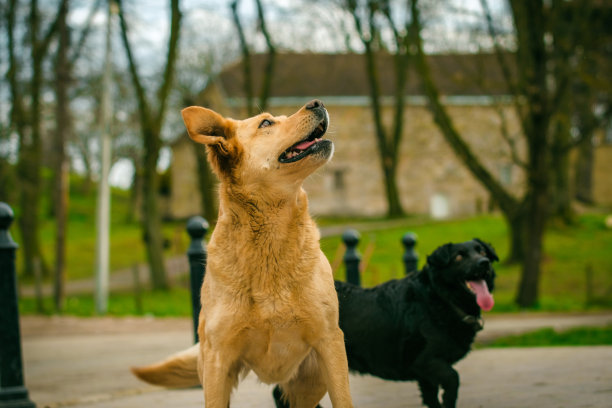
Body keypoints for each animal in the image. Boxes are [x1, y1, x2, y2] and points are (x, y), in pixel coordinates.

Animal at [134, 99, 354, 408]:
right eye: (266, 123)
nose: (317, 102)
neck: (269, 239)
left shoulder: (329, 341)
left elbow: (343, 399)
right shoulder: (218, 360)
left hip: (310, 382)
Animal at [272, 239, 498, 408]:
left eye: (481, 250)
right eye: (459, 256)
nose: (484, 262)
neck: (439, 297)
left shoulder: (426, 375)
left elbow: (432, 397)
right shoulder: (426, 361)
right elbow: (453, 378)